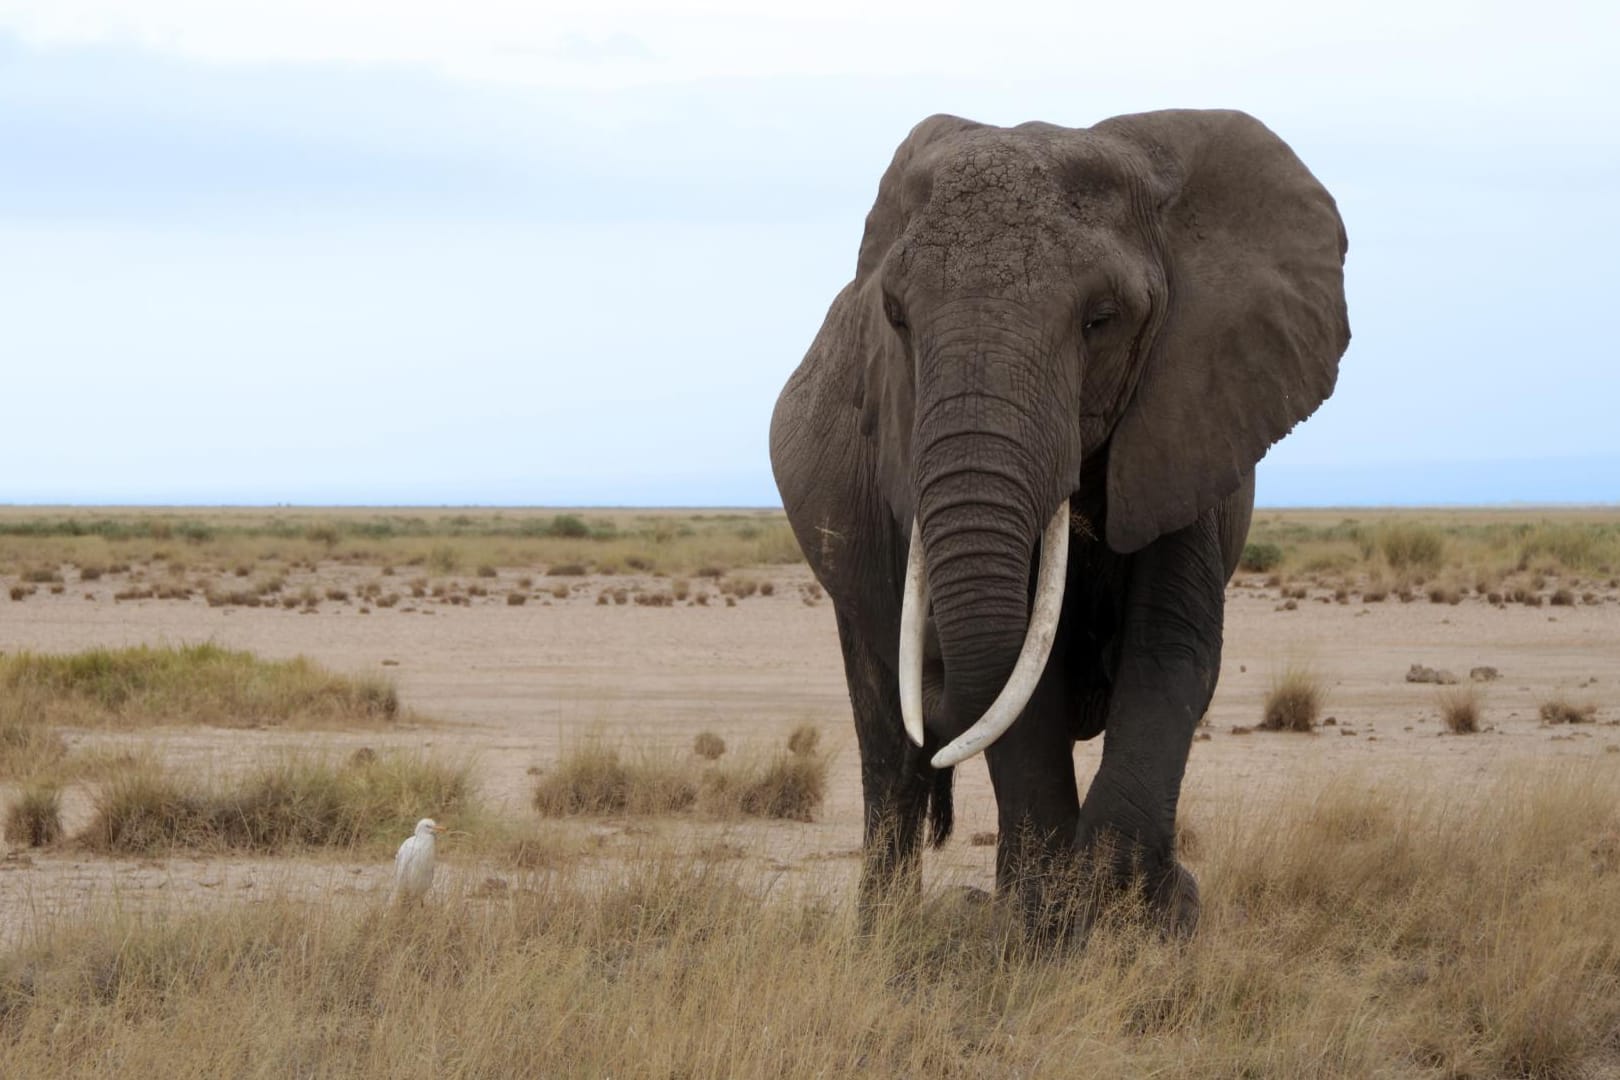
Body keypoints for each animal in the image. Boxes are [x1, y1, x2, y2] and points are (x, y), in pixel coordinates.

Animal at [764, 105, 1347, 939]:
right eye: (896, 319)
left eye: (1101, 320)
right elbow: (1018, 678)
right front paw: (1048, 926)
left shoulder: (1191, 412)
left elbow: (1170, 648)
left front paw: (1144, 917)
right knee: (887, 744)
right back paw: (889, 937)